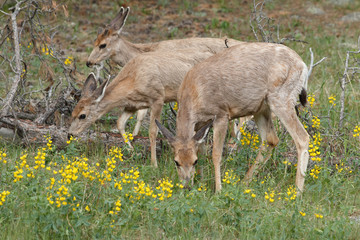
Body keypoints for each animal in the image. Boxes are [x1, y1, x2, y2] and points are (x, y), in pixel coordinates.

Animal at [68, 47, 219, 167]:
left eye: (82, 115)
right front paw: (131, 149)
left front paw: (154, 163)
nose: (70, 134)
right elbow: (120, 123)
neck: (133, 80)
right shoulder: (132, 105)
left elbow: (153, 131)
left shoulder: (158, 98)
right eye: (72, 113)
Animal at [156, 42, 310, 194]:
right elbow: (202, 150)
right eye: (176, 161)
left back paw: (297, 192)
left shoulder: (221, 114)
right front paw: (201, 183)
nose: (187, 186)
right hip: (262, 108)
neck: (194, 94)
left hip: (281, 99)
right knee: (271, 140)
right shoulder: (201, 124)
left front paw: (218, 190)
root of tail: (303, 64)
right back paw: (244, 183)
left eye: (194, 161)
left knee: (302, 137)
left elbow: (216, 154)